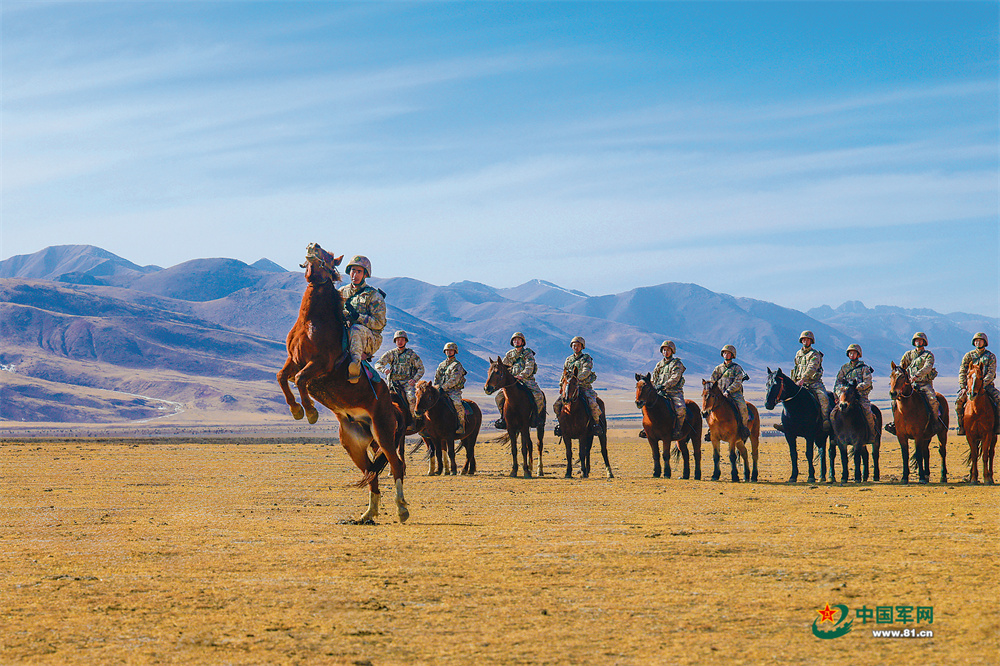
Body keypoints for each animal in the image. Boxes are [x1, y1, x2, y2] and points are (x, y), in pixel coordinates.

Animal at [277, 243, 408, 524]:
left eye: (326, 255)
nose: (312, 245)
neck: (313, 321)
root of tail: (393, 406)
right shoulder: (293, 361)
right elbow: (282, 377)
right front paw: (296, 410)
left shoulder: (319, 365)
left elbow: (301, 380)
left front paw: (310, 412)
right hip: (354, 445)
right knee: (371, 472)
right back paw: (368, 513)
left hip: (383, 433)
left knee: (396, 465)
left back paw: (402, 508)